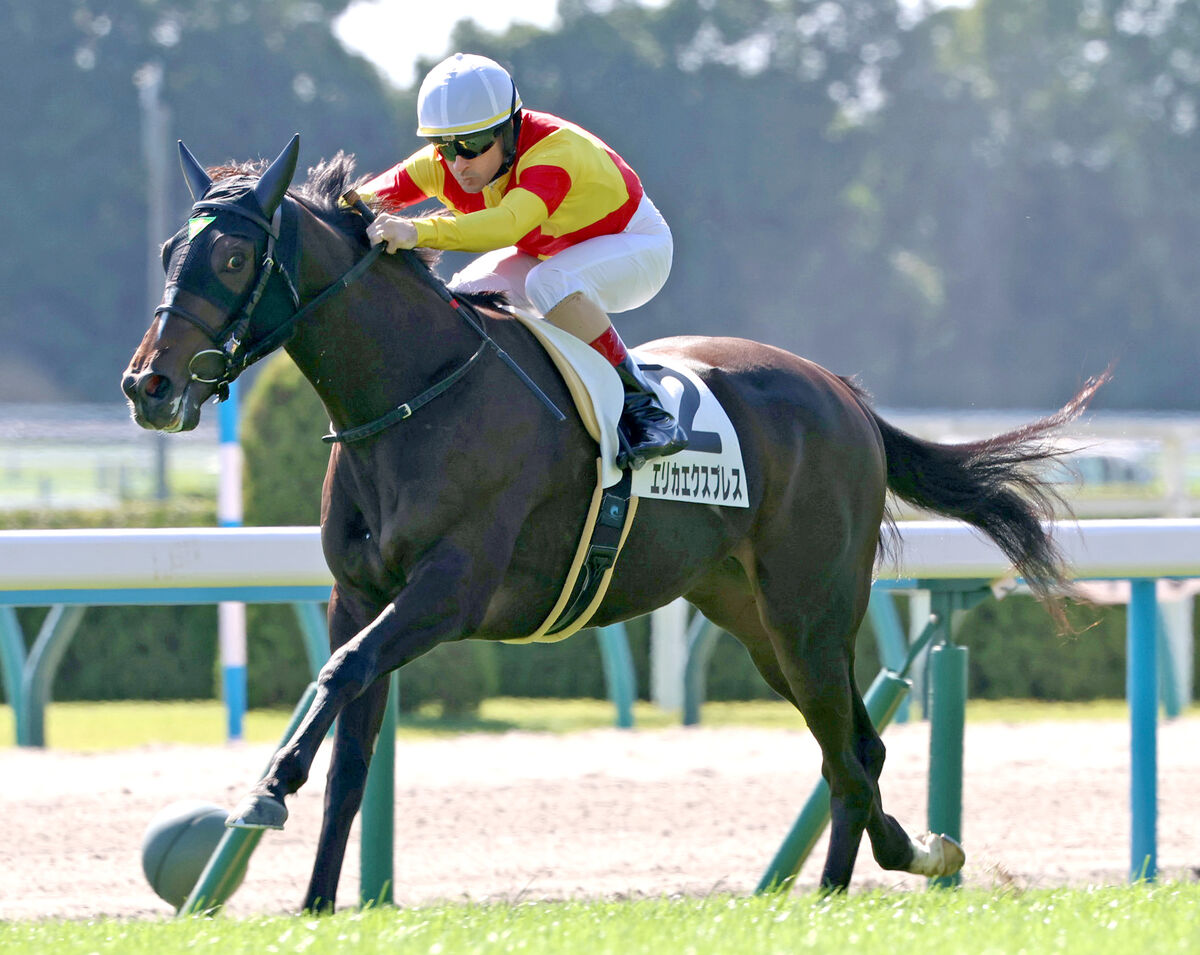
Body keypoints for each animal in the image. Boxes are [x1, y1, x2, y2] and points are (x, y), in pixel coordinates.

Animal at [124, 136, 1104, 911]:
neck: (412, 396)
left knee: (848, 755)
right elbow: (350, 754)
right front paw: (319, 902)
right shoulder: (358, 594)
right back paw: (909, 853)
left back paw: (833, 895)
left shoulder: (449, 590)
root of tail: (845, 395)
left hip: (810, 611)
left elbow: (339, 677)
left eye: (235, 259)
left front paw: (268, 788)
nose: (149, 385)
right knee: (854, 745)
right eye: (170, 250)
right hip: (754, 622)